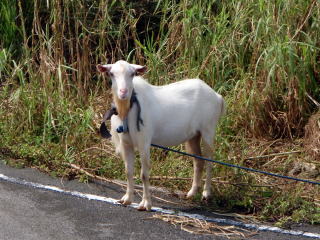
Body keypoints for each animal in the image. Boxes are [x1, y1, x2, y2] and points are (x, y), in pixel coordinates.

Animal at [97, 61, 225, 211]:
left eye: (132, 74)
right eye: (111, 74)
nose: (123, 92)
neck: (128, 109)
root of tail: (217, 97)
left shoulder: (144, 141)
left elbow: (144, 174)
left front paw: (146, 204)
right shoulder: (126, 143)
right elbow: (128, 171)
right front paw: (127, 199)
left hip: (208, 129)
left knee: (210, 160)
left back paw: (206, 193)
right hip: (194, 136)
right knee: (199, 161)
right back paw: (191, 193)